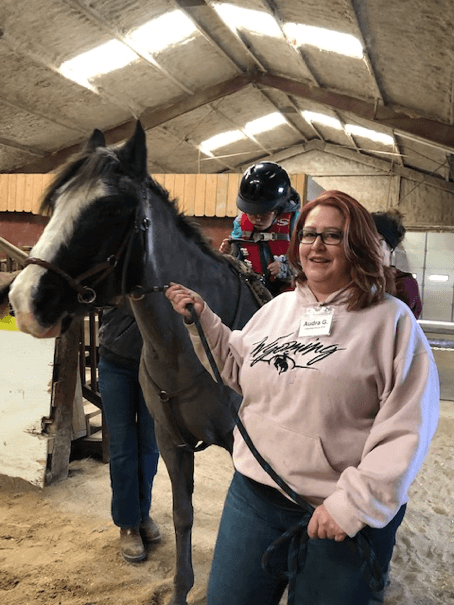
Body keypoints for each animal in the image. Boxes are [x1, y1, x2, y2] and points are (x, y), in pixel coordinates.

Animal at [7, 122, 264, 604]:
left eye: (110, 209)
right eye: (56, 202)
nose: (23, 299)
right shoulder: (170, 440)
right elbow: (183, 515)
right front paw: (181, 589)